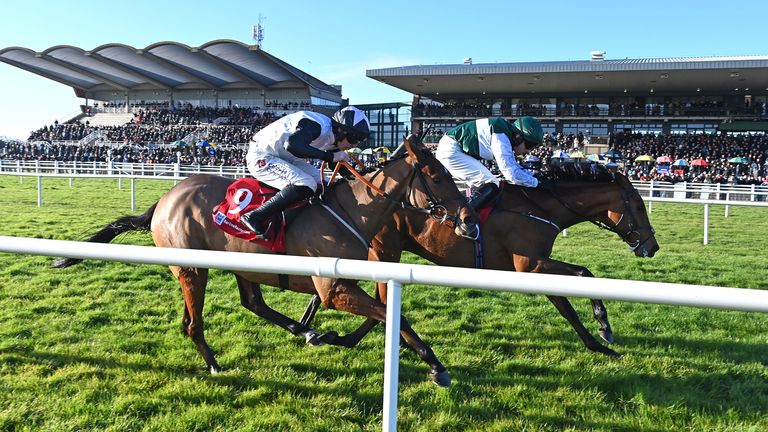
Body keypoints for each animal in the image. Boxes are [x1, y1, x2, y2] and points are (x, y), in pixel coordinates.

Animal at [52, 135, 474, 384]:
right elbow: (391, 314)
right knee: (193, 323)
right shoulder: (334, 287)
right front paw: (436, 366)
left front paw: (330, 334)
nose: (468, 219)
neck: (352, 209)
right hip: (192, 268)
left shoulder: (346, 280)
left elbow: (387, 312)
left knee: (251, 303)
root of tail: (164, 200)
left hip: (241, 263)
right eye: (438, 177)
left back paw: (309, 333)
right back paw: (215, 363)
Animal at [300, 162, 660, 358]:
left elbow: (565, 305)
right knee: (378, 300)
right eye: (637, 206)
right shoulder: (530, 264)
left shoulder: (537, 265)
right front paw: (604, 325)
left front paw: (598, 344)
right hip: (385, 251)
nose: (652, 247)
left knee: (378, 301)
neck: (539, 208)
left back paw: (330, 334)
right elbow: (585, 274)